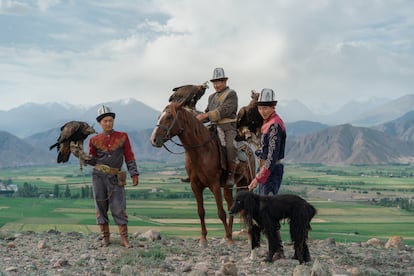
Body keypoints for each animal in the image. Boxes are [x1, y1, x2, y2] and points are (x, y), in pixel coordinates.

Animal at [150, 101, 254, 246]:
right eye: (159, 116)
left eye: (169, 117)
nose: (153, 140)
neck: (201, 151)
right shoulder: (195, 185)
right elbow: (201, 212)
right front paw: (204, 239)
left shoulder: (214, 185)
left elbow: (221, 213)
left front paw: (228, 237)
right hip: (228, 186)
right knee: (230, 205)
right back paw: (228, 237)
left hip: (248, 183)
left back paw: (246, 237)